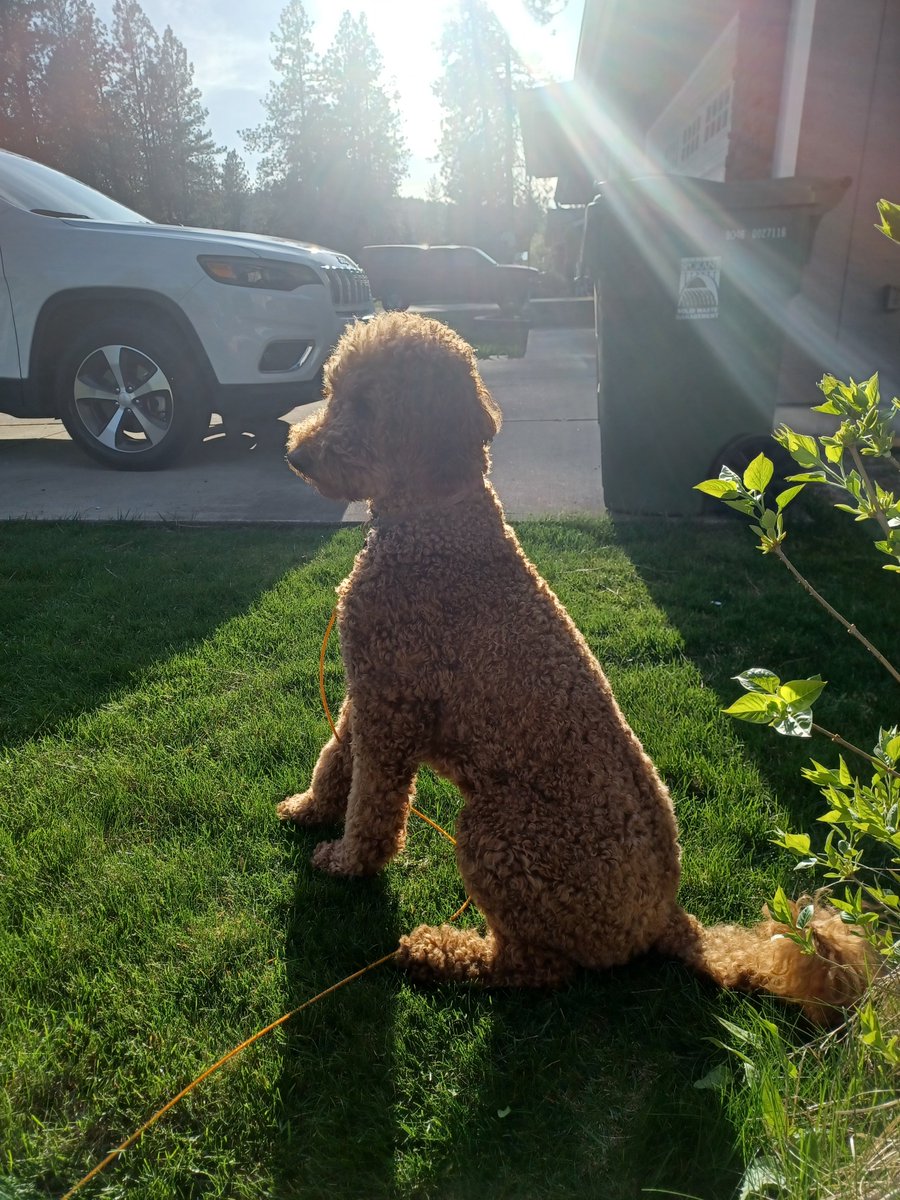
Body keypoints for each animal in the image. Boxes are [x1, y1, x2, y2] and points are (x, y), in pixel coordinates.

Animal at [280, 309, 873, 1022]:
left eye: (367, 405)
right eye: (334, 393)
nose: (296, 455)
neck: (435, 519)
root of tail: (666, 918)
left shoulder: (391, 707)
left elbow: (373, 803)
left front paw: (347, 861)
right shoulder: (367, 688)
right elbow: (335, 756)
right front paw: (310, 807)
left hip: (497, 834)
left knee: (534, 967)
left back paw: (441, 951)